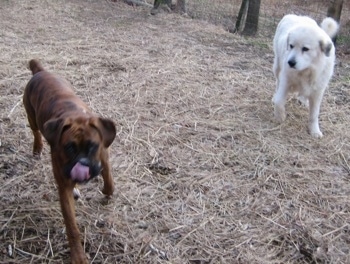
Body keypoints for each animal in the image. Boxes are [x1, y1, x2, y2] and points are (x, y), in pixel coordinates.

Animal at [22, 59, 116, 264]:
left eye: (92, 146)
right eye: (69, 148)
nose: (83, 165)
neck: (74, 115)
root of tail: (40, 71)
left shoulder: (103, 154)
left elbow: (108, 176)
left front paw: (107, 191)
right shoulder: (63, 186)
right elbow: (72, 228)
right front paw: (78, 256)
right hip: (31, 117)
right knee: (36, 132)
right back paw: (37, 147)